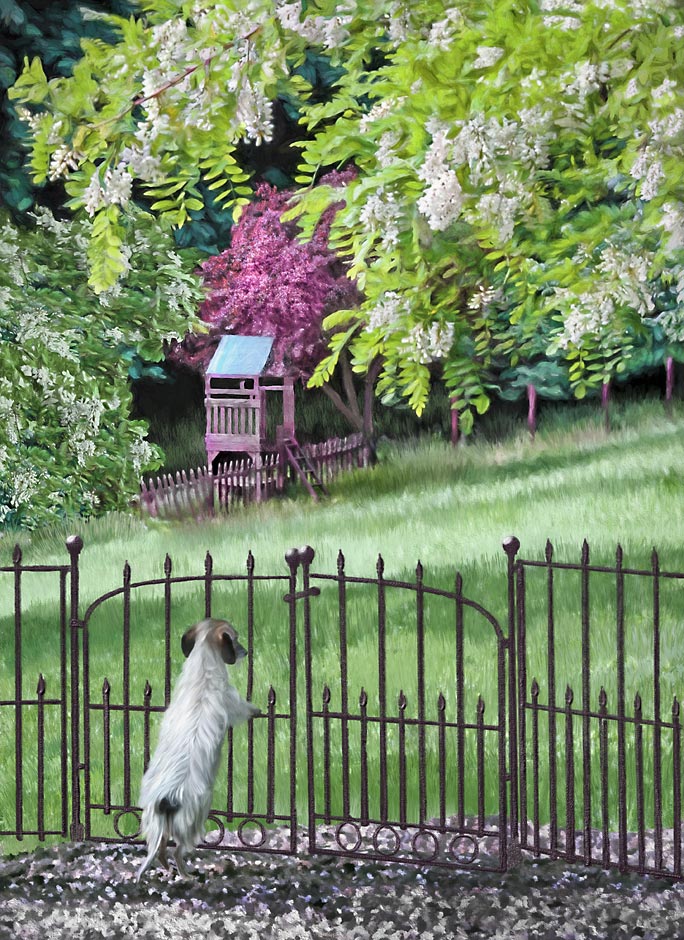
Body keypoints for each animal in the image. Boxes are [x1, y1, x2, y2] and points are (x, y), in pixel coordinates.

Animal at [135, 616, 260, 880]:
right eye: (236, 639)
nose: (246, 651)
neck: (204, 660)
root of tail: (166, 799)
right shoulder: (234, 702)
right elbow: (246, 708)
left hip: (155, 825)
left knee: (160, 851)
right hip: (194, 821)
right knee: (176, 851)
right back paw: (187, 875)